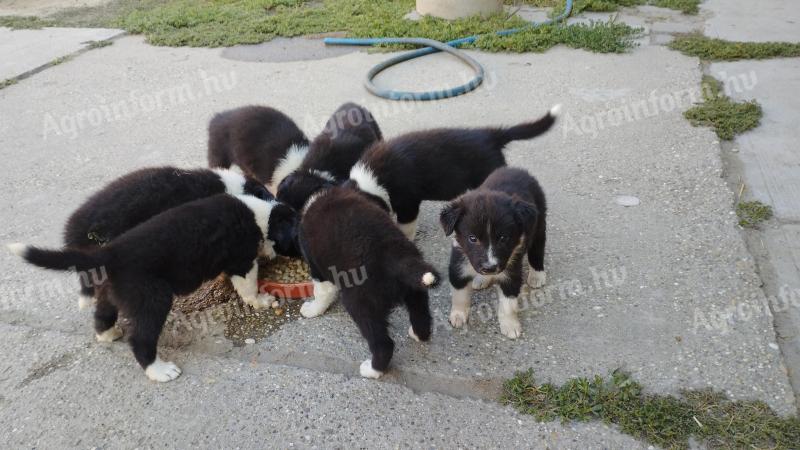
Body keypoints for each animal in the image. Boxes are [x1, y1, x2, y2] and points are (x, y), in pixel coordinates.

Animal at [7, 194, 296, 384]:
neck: (262, 216)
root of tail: (110, 254)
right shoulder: (241, 260)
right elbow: (248, 285)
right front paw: (261, 300)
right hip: (152, 297)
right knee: (140, 339)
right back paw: (159, 370)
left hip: (115, 291)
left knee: (102, 313)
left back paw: (107, 334)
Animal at [298, 186, 438, 380]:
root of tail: (395, 255)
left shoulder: (317, 265)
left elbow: (322, 292)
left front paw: (312, 310)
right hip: (415, 290)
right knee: (421, 315)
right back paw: (418, 334)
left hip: (361, 302)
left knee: (383, 344)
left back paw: (372, 370)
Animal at [440, 167, 548, 340]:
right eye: (472, 238)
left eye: (503, 238)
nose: (489, 267)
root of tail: (518, 169)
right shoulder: (458, 265)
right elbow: (459, 295)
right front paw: (458, 315)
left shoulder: (511, 272)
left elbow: (508, 304)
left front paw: (510, 326)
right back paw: (481, 280)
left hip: (539, 225)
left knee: (537, 250)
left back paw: (537, 275)